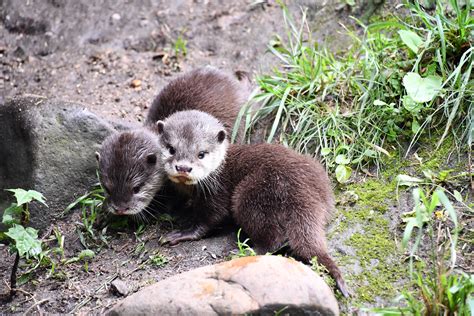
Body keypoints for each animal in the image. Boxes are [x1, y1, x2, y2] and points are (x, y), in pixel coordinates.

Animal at [155, 110, 348, 298]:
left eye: (201, 153)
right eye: (171, 149)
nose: (183, 168)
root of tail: (304, 193)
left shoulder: (216, 193)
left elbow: (208, 220)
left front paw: (181, 233)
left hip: (249, 195)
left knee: (272, 239)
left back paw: (245, 251)